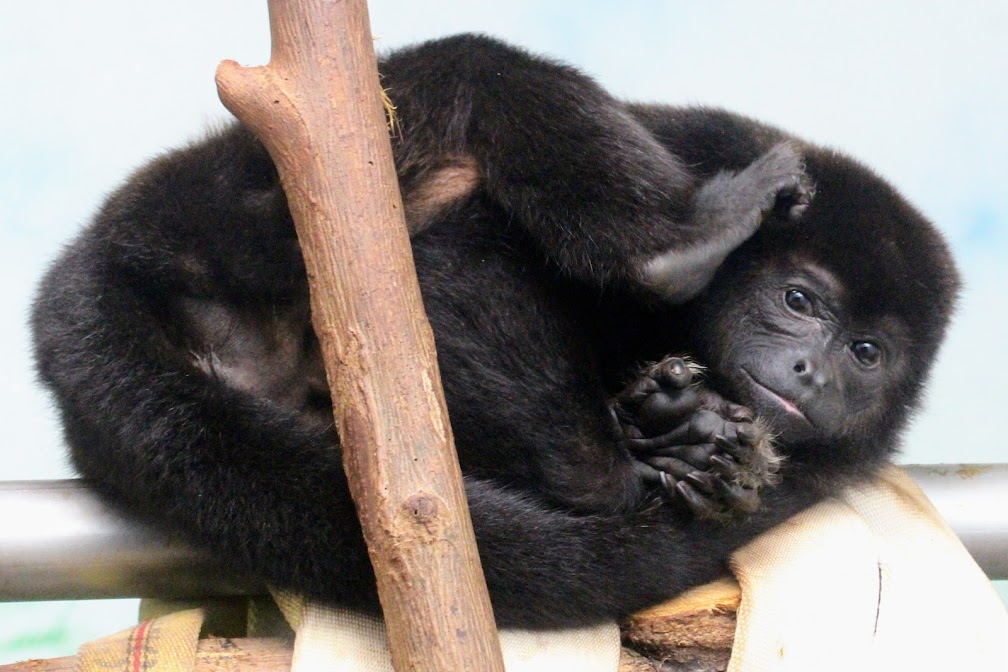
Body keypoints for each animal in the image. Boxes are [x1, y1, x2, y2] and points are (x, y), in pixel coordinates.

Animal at [30, 34, 959, 628]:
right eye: (799, 301)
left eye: (867, 354)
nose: (812, 372)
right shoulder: (695, 140)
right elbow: (452, 264)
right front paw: (626, 466)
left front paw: (683, 434)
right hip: (220, 203)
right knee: (477, 71)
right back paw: (677, 251)